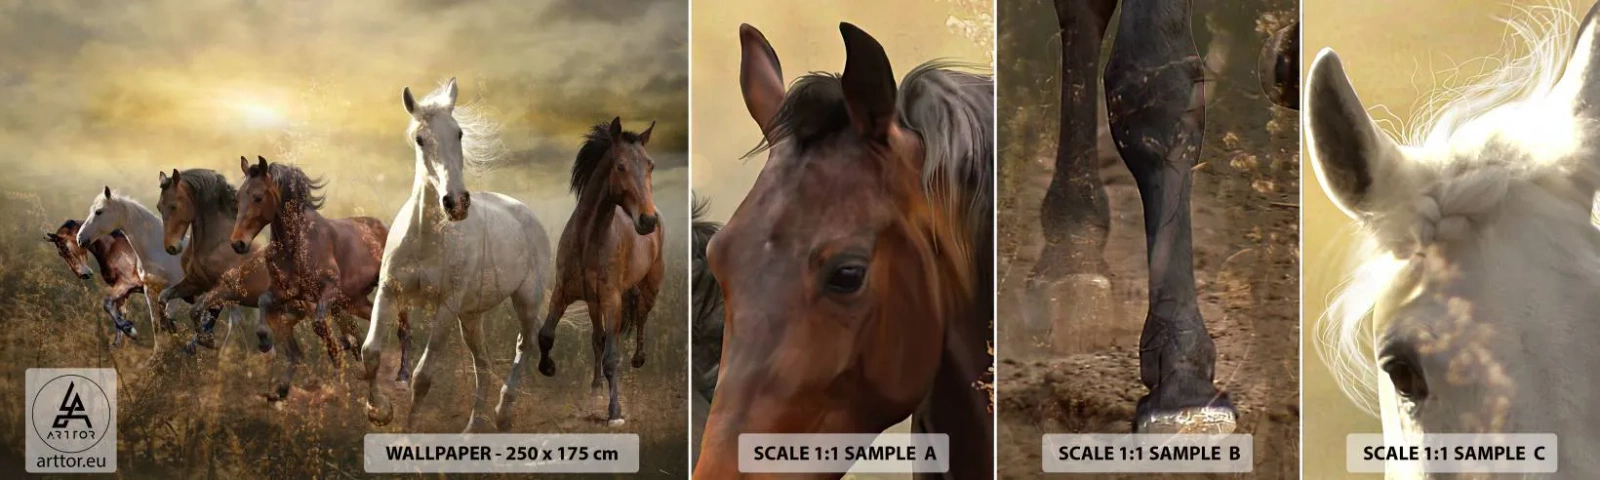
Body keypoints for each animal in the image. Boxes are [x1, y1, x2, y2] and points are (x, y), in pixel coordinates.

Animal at [77, 186, 187, 353]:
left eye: (99, 211)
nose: (80, 239)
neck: (159, 251)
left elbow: (169, 322)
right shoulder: (149, 290)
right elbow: (157, 325)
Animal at [154, 168, 263, 352]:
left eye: (174, 206)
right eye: (159, 207)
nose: (171, 247)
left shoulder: (223, 289)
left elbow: (196, 310)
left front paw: (207, 340)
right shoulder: (195, 282)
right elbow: (163, 297)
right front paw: (168, 325)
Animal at [230, 156, 388, 401]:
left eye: (257, 197)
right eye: (238, 197)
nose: (238, 243)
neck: (296, 245)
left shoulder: (328, 290)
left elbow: (320, 325)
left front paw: (340, 356)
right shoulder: (286, 292)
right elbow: (264, 303)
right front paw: (266, 345)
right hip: (354, 301)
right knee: (368, 322)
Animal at [359, 79, 553, 433]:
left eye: (459, 133)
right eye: (420, 139)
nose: (457, 203)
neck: (426, 239)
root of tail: (525, 212)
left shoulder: (447, 306)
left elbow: (422, 376)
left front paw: (407, 436)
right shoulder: (389, 291)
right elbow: (371, 352)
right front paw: (379, 411)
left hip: (526, 300)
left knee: (525, 344)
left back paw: (503, 412)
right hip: (471, 317)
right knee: (484, 365)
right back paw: (471, 431)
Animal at [534, 117, 665, 427]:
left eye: (651, 165)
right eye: (620, 166)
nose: (648, 220)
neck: (588, 240)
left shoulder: (612, 300)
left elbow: (612, 358)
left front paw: (615, 412)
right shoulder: (564, 292)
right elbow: (546, 335)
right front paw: (548, 367)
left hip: (649, 287)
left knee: (641, 317)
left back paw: (639, 359)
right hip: (594, 304)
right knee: (597, 339)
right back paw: (594, 389)